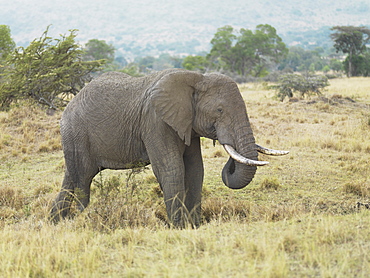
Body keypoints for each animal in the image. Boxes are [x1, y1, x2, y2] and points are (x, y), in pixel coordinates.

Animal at [49, 68, 290, 227]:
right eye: (220, 110)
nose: (230, 157)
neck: (196, 78)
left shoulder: (187, 124)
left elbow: (195, 169)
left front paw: (194, 226)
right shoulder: (155, 121)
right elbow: (171, 168)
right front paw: (178, 227)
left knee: (71, 177)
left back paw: (56, 221)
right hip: (76, 132)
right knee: (83, 178)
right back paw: (82, 219)